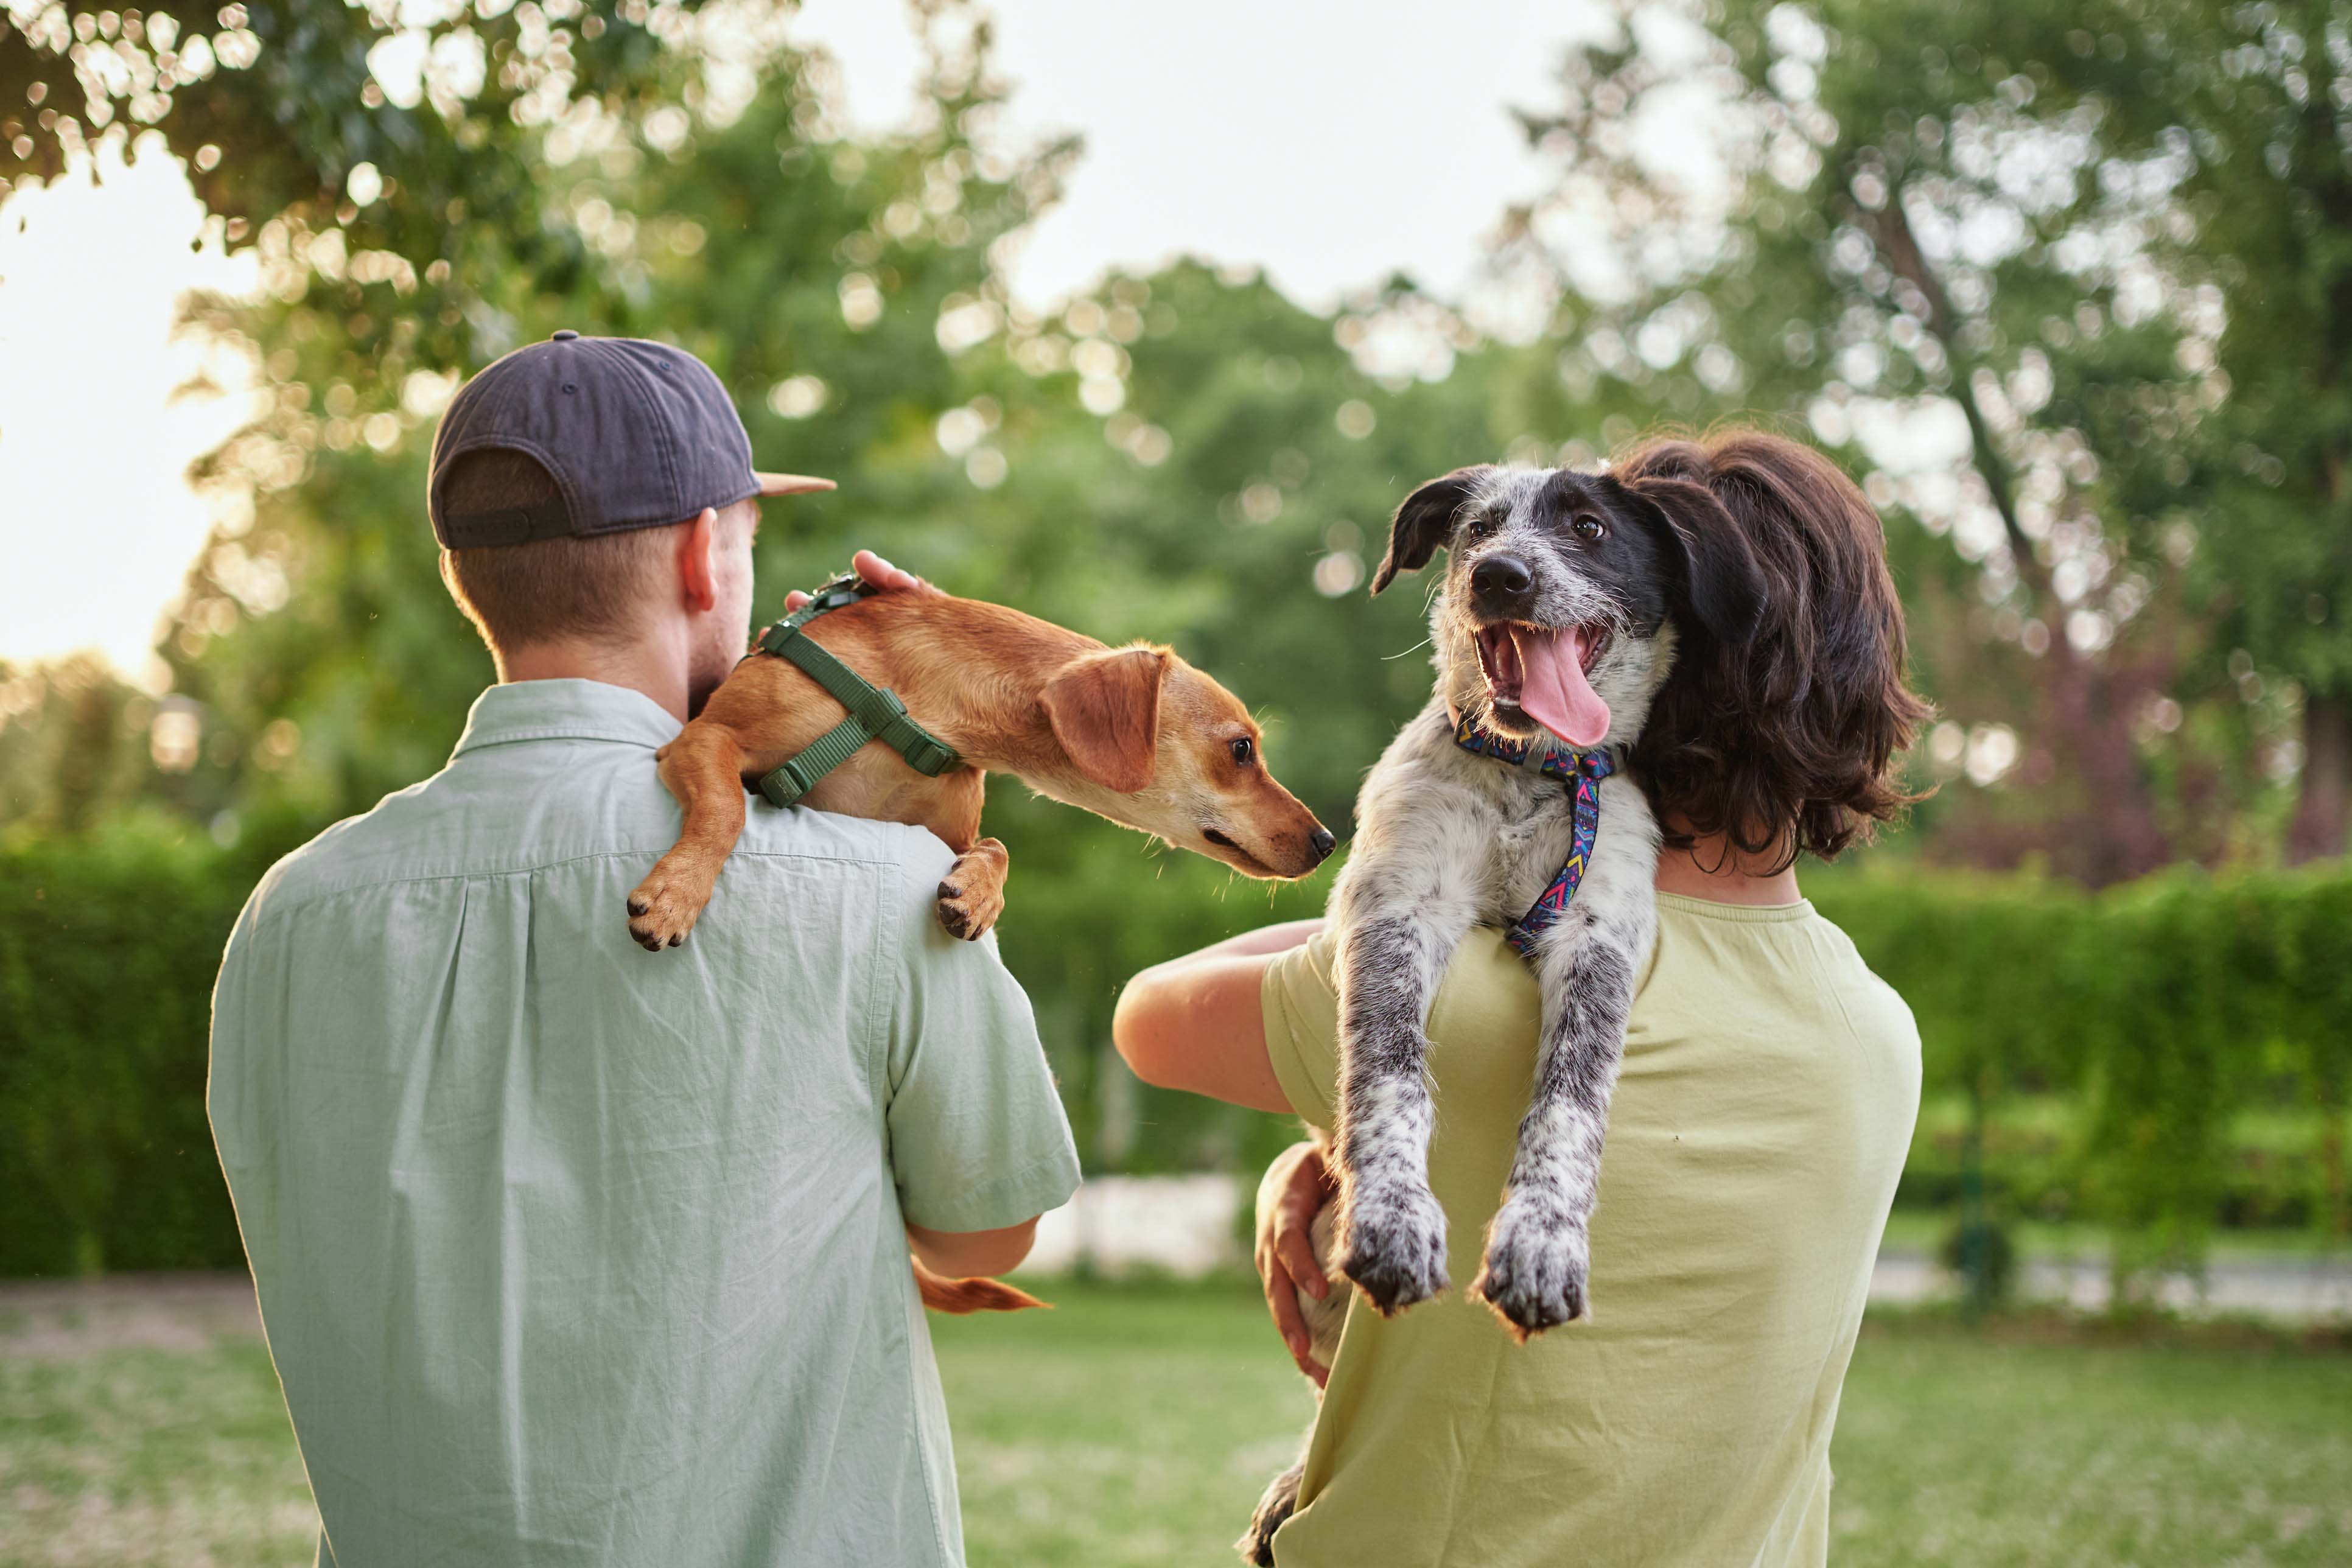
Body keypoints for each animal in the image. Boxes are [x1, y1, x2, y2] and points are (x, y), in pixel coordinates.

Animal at [625, 587, 1335, 1316]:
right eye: (1242, 748)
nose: (1328, 841)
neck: (920, 711)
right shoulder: (704, 739)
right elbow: (726, 807)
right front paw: (679, 891)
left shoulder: (955, 830)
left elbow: (998, 846)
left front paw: (977, 894)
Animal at [1242, 460, 1759, 1561]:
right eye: (1477, 529)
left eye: (1589, 527)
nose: (1501, 578)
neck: (1534, 774)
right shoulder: (1397, 909)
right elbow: (1390, 1080)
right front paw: (1395, 1222)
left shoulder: (1599, 937)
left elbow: (1568, 1108)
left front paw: (1541, 1245)